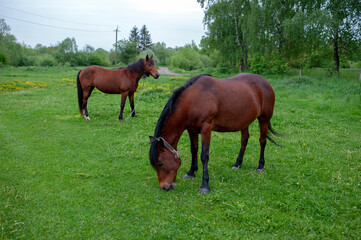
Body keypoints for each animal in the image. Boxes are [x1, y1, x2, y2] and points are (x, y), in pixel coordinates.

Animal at [148, 72, 280, 193]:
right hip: (245, 120)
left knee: (262, 141)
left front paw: (205, 185)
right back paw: (237, 164)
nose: (165, 187)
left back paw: (260, 166)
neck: (194, 101)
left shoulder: (206, 128)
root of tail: (265, 82)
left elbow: (204, 155)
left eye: (160, 163)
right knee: (244, 140)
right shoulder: (191, 130)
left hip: (264, 118)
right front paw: (191, 172)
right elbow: (194, 150)